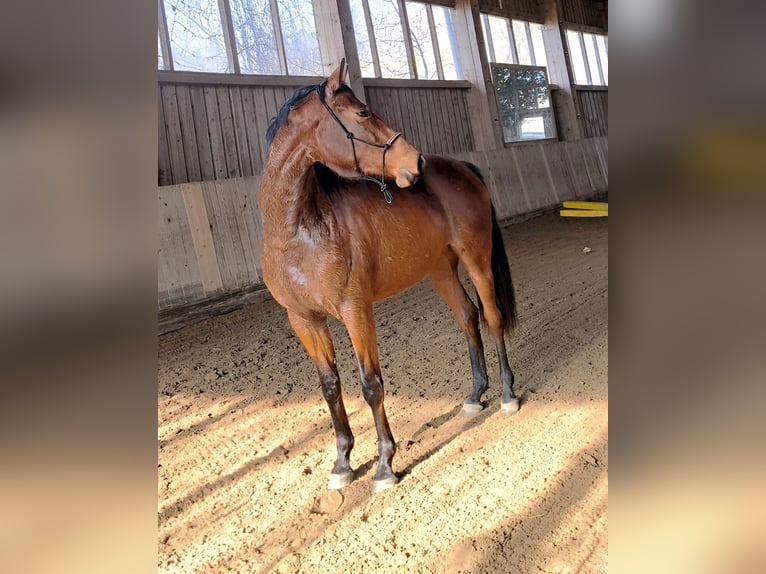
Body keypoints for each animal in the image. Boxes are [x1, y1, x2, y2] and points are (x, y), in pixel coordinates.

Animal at [259, 60, 519, 493]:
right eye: (363, 113)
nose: (416, 162)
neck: (300, 231)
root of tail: (461, 167)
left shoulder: (355, 310)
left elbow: (371, 384)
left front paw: (384, 466)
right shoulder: (305, 320)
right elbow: (330, 387)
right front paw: (342, 464)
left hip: (476, 258)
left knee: (492, 316)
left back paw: (508, 394)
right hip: (440, 269)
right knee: (468, 317)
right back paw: (474, 395)